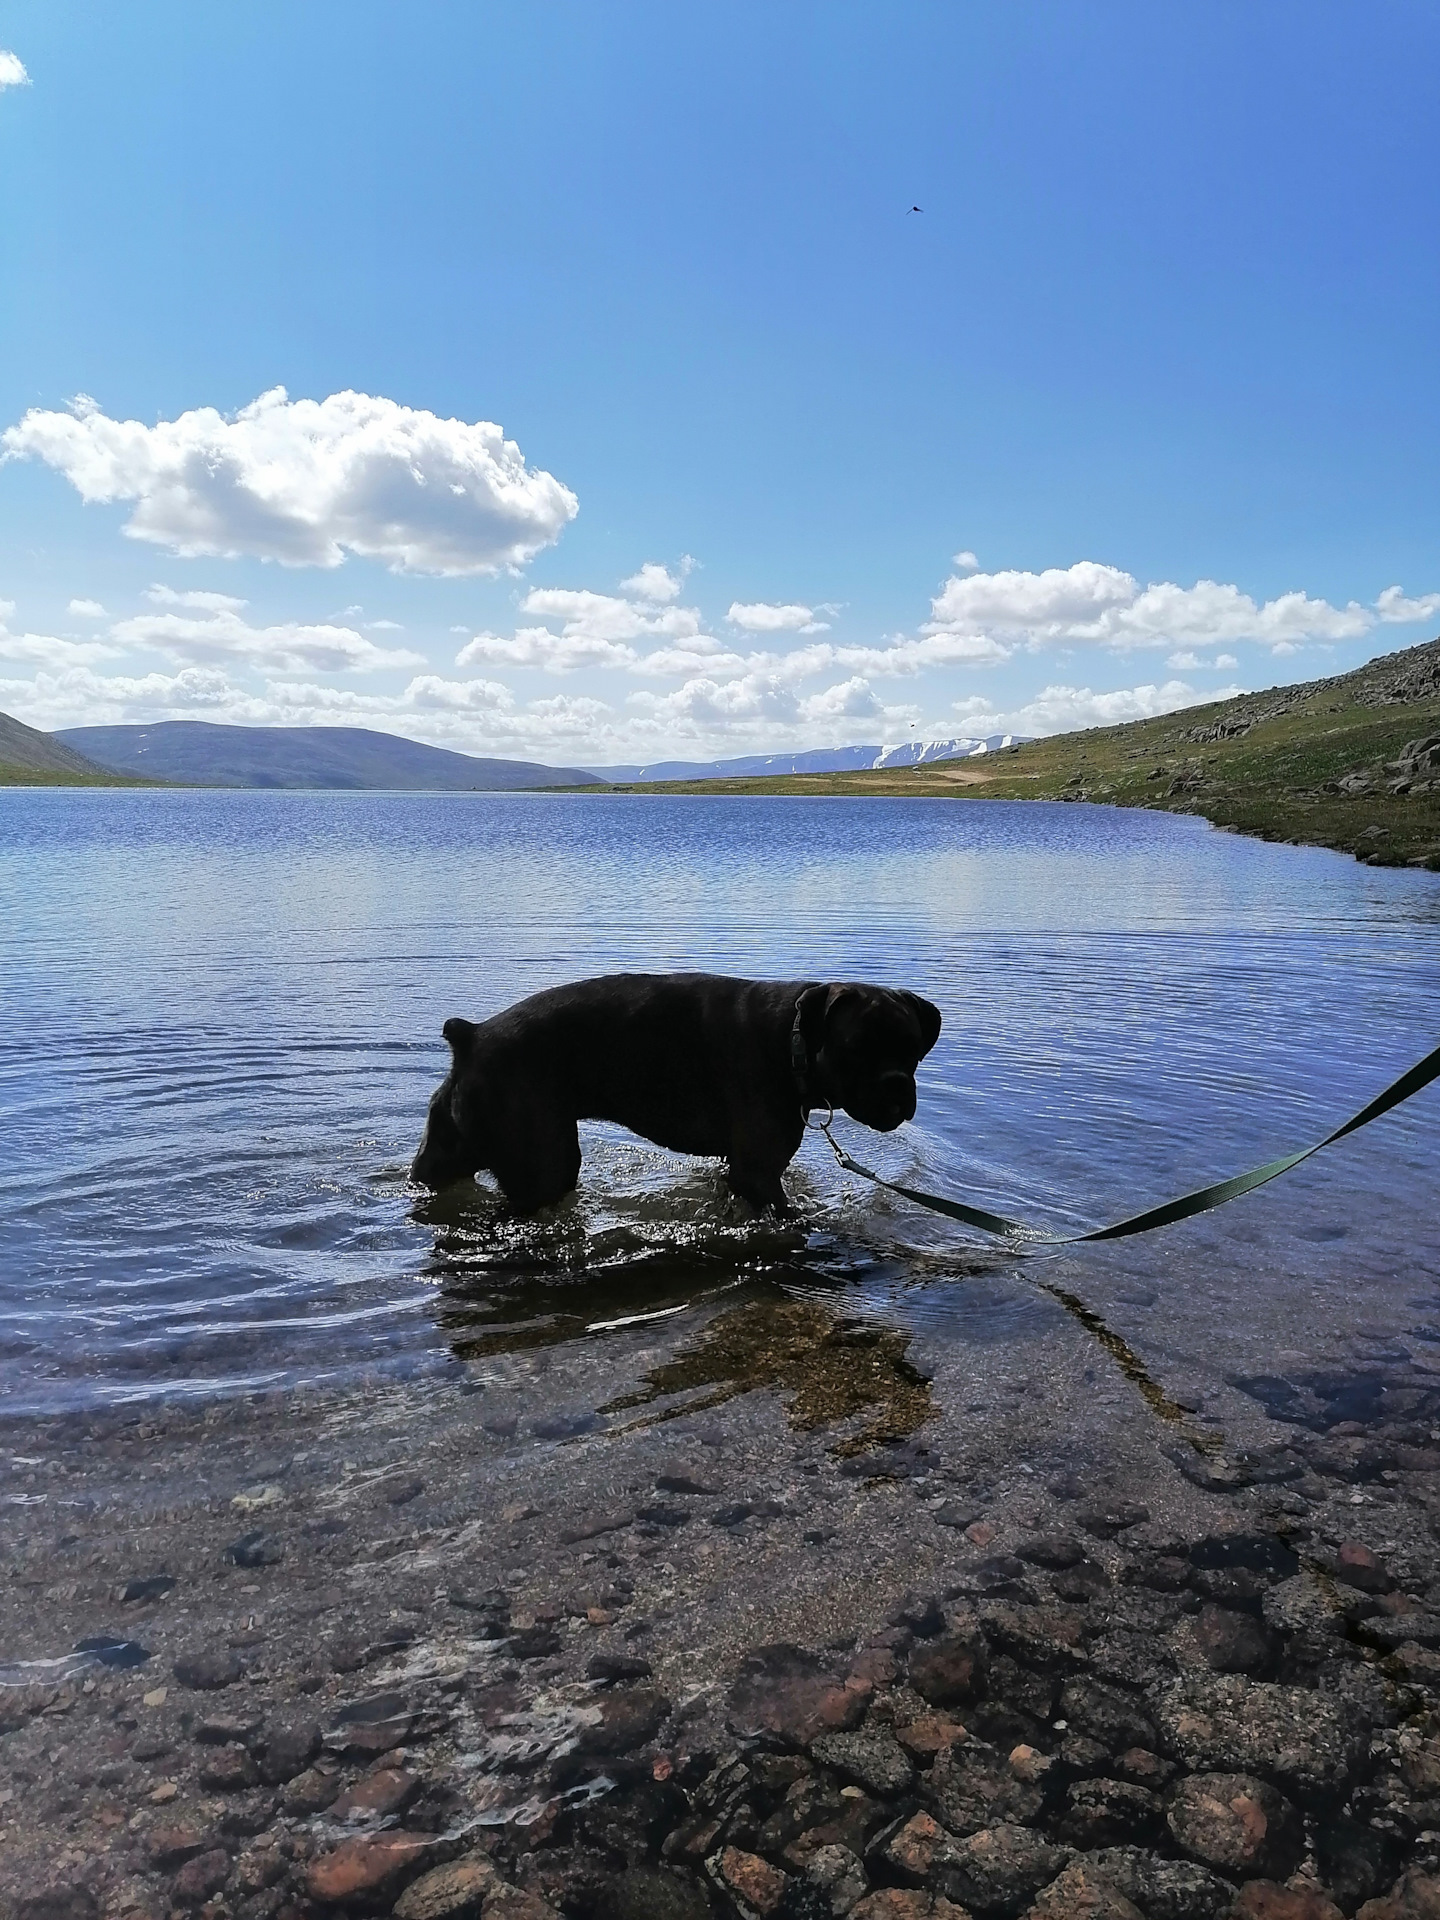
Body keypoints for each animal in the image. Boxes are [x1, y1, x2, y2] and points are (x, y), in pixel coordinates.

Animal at [408, 975, 948, 1213]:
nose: (897, 1084)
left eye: (914, 1050)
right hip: (545, 1164)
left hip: (453, 1147)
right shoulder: (758, 1175)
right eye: (857, 1049)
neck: (792, 1039)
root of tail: (472, 1036)